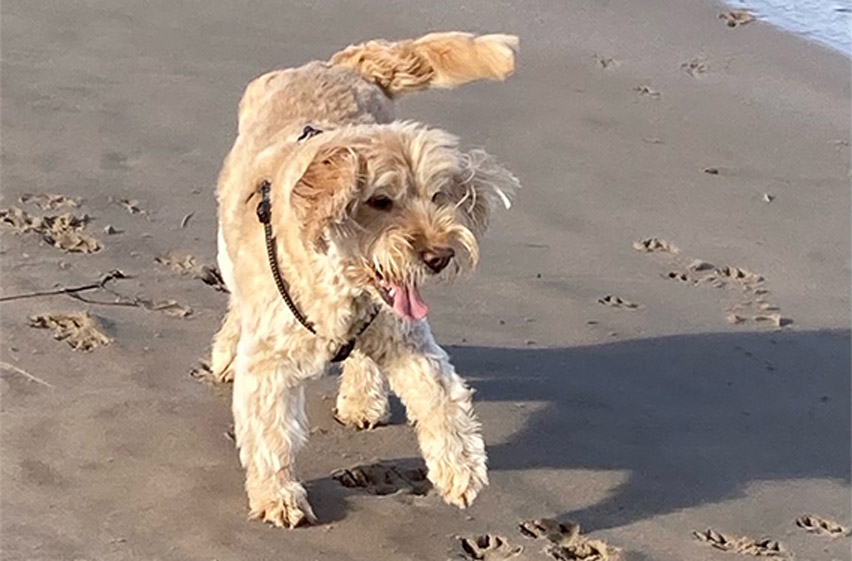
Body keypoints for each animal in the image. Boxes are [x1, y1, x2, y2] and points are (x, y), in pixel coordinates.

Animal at [211, 32, 520, 528]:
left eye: (438, 195)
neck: (343, 284)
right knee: (236, 303)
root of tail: (338, 65)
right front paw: (279, 496)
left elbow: (442, 400)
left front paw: (460, 471)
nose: (439, 256)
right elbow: (271, 435)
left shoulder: (409, 341)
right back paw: (225, 355)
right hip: (227, 246)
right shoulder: (270, 360)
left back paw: (362, 401)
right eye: (380, 200)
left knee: (362, 361)